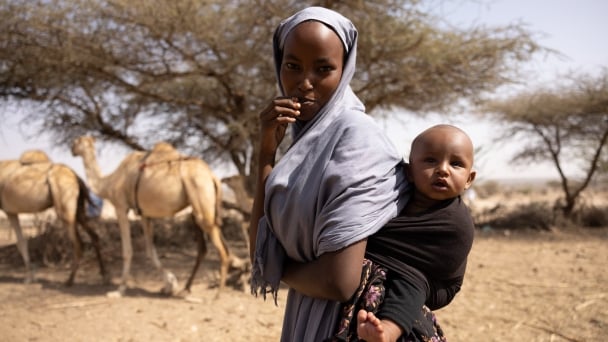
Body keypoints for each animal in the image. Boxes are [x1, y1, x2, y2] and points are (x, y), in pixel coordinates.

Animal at [0, 151, 108, 284]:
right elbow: (21, 242)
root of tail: (76, 177)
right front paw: (30, 278)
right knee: (94, 235)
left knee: (78, 243)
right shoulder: (11, 211)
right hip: (79, 209)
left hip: (65, 208)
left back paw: (70, 280)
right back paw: (104, 276)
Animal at [72, 136, 239, 296]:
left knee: (221, 249)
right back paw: (188, 289)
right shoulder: (145, 214)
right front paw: (170, 285)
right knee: (213, 244)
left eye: (77, 141)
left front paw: (119, 291)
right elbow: (150, 250)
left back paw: (217, 295)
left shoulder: (121, 207)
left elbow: (127, 251)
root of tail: (212, 177)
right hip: (204, 206)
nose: (72, 149)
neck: (109, 182)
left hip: (201, 196)